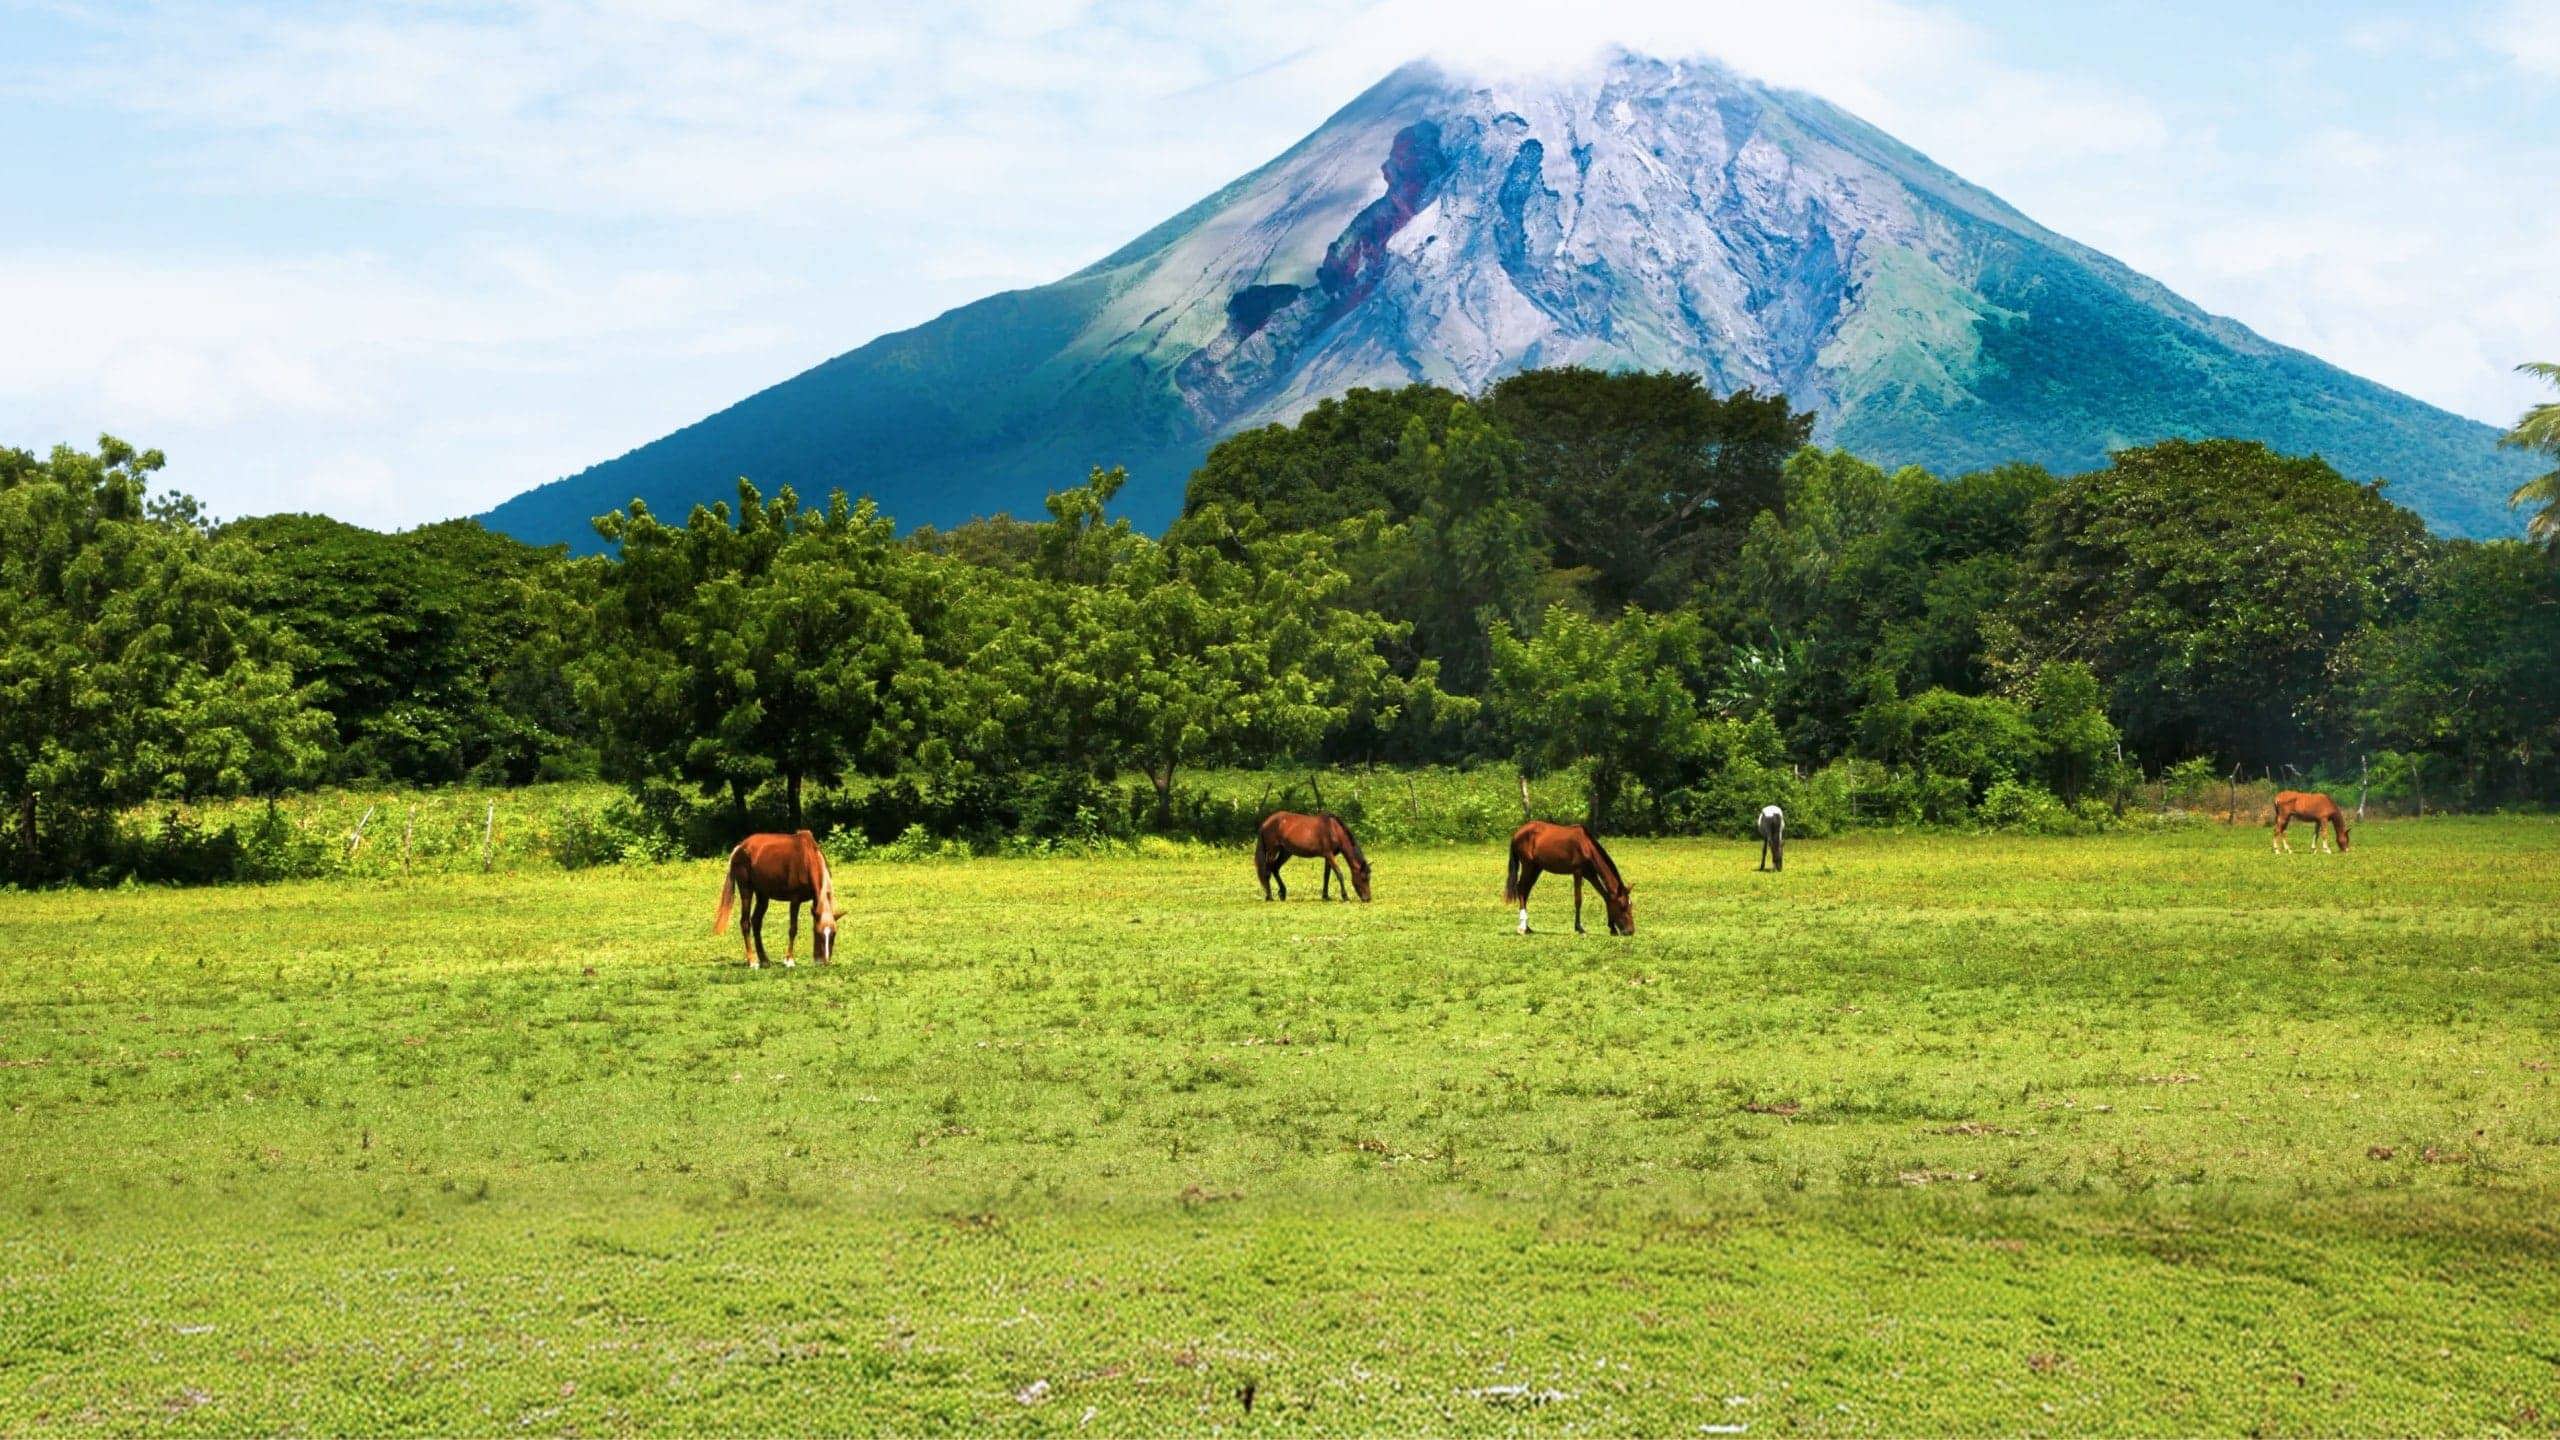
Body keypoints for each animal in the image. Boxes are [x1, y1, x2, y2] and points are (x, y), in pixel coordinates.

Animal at [713, 830, 839, 967]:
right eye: (819, 934)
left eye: (834, 934)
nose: (825, 961)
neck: (807, 859)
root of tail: (740, 847)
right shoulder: (795, 900)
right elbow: (793, 929)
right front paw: (789, 960)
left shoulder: (815, 900)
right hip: (746, 890)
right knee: (745, 922)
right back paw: (752, 961)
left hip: (763, 895)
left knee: (756, 921)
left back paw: (764, 960)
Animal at [1505, 820, 1633, 935]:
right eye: (1622, 906)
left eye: (1631, 905)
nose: (1630, 931)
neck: (1586, 846)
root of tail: (1517, 833)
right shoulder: (1578, 872)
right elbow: (1578, 900)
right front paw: (1580, 928)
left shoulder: (1591, 874)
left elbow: (1606, 897)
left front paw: (1612, 928)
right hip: (1528, 866)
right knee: (1521, 889)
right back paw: (1522, 928)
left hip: (1536, 868)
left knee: (1525, 891)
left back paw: (1528, 928)